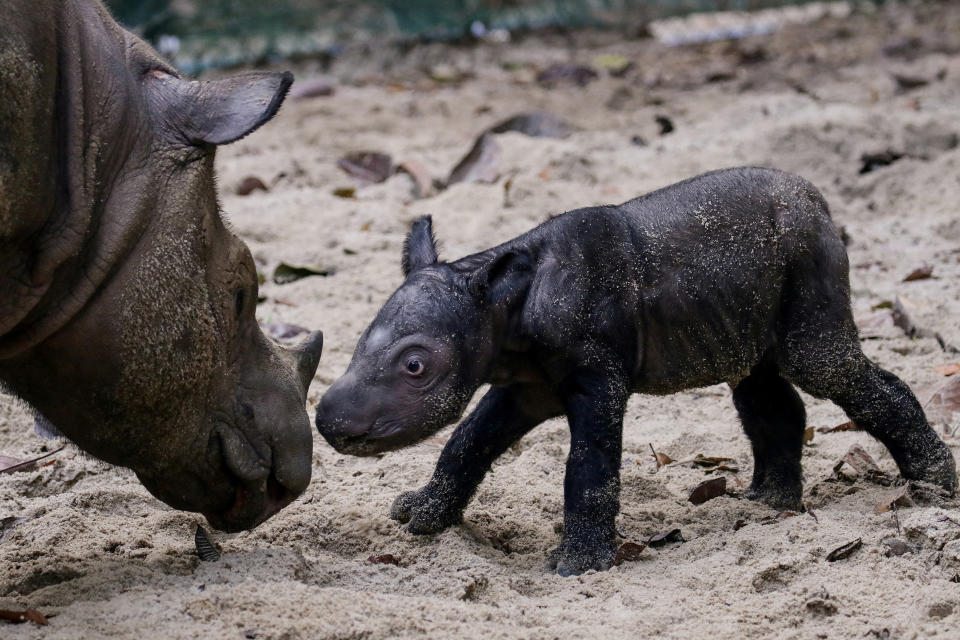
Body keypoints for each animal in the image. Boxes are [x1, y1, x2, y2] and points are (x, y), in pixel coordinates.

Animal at [316, 169, 960, 576]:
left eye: (415, 366)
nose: (329, 422)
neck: (502, 305)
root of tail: (821, 202)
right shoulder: (524, 383)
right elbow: (468, 442)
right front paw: (420, 518)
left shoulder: (596, 376)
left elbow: (588, 467)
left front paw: (577, 568)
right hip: (748, 299)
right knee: (759, 385)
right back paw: (766, 505)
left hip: (809, 257)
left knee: (824, 365)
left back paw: (934, 486)